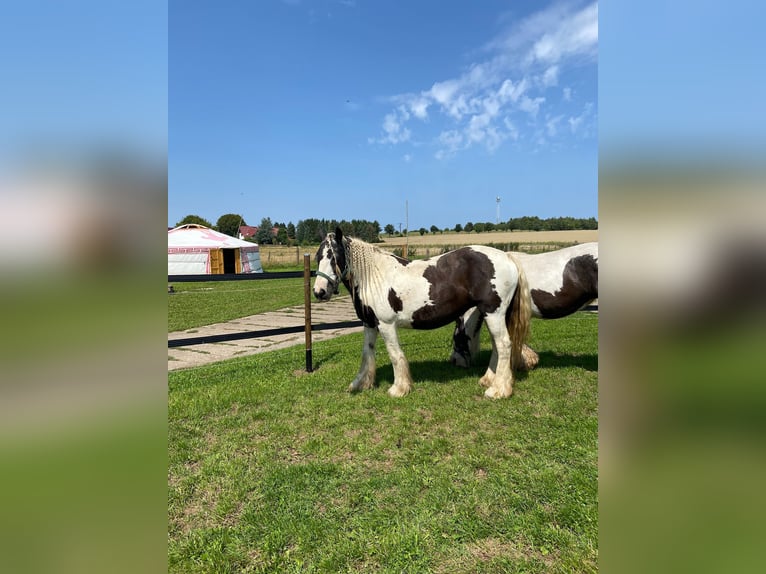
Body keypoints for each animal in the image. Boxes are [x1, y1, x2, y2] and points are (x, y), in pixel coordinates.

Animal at [313, 228, 532, 398]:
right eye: (318, 257)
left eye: (334, 257)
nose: (319, 291)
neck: (374, 276)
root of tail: (507, 257)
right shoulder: (370, 324)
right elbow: (367, 353)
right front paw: (360, 384)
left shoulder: (386, 324)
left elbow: (395, 354)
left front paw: (399, 388)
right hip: (490, 315)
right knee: (498, 346)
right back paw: (489, 380)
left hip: (494, 314)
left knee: (504, 345)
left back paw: (498, 390)